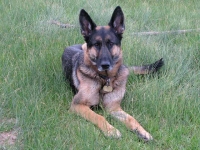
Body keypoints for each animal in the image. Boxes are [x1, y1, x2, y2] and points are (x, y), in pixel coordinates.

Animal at [61, 6, 163, 142]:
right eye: (96, 44)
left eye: (111, 43)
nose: (105, 65)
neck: (105, 79)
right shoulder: (78, 105)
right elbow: (98, 116)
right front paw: (111, 130)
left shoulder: (113, 108)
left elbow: (131, 118)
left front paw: (142, 131)